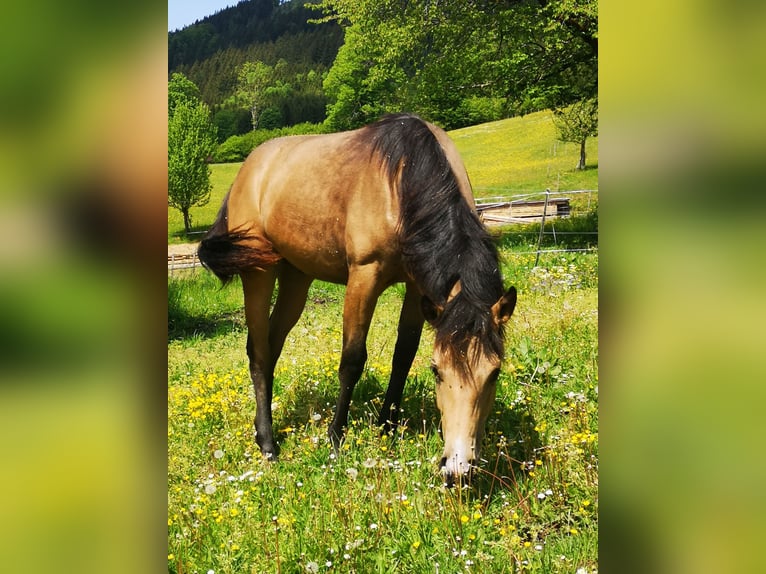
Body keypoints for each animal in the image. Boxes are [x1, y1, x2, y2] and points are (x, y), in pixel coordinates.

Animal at [198, 113, 516, 484]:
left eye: (494, 373)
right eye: (437, 372)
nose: (458, 469)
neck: (402, 180)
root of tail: (248, 169)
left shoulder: (418, 288)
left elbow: (403, 355)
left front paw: (387, 427)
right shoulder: (364, 276)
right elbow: (352, 360)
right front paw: (336, 439)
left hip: (296, 277)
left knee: (273, 344)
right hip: (259, 273)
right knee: (259, 352)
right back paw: (267, 443)